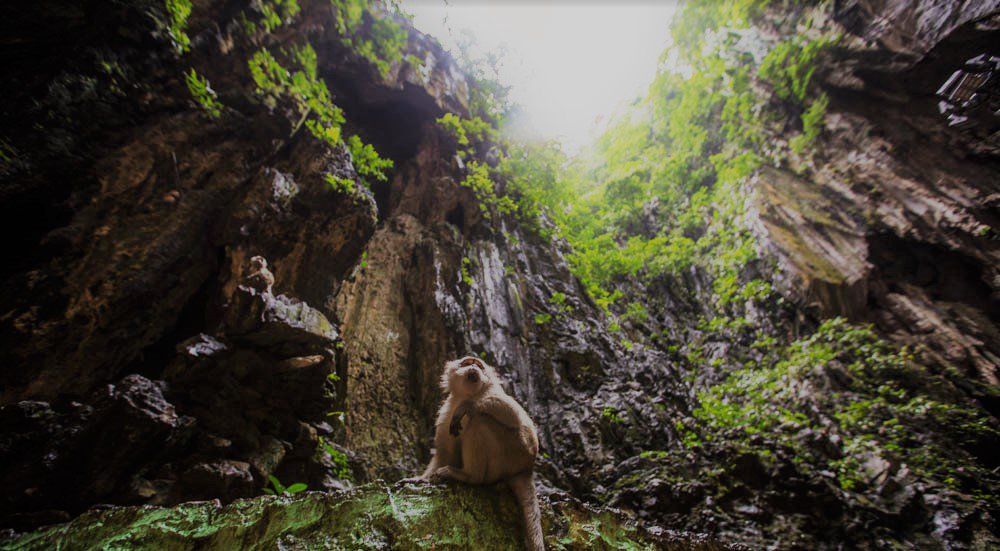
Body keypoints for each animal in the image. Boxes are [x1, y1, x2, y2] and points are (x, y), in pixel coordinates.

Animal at [417, 356, 544, 551]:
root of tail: (525, 468)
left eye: (478, 365)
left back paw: (470, 476)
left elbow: (515, 418)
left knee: (480, 421)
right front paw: (421, 479)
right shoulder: (446, 413)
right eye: (467, 363)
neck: (468, 394)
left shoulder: (493, 391)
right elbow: (445, 453)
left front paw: (469, 406)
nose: (473, 368)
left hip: (511, 454)